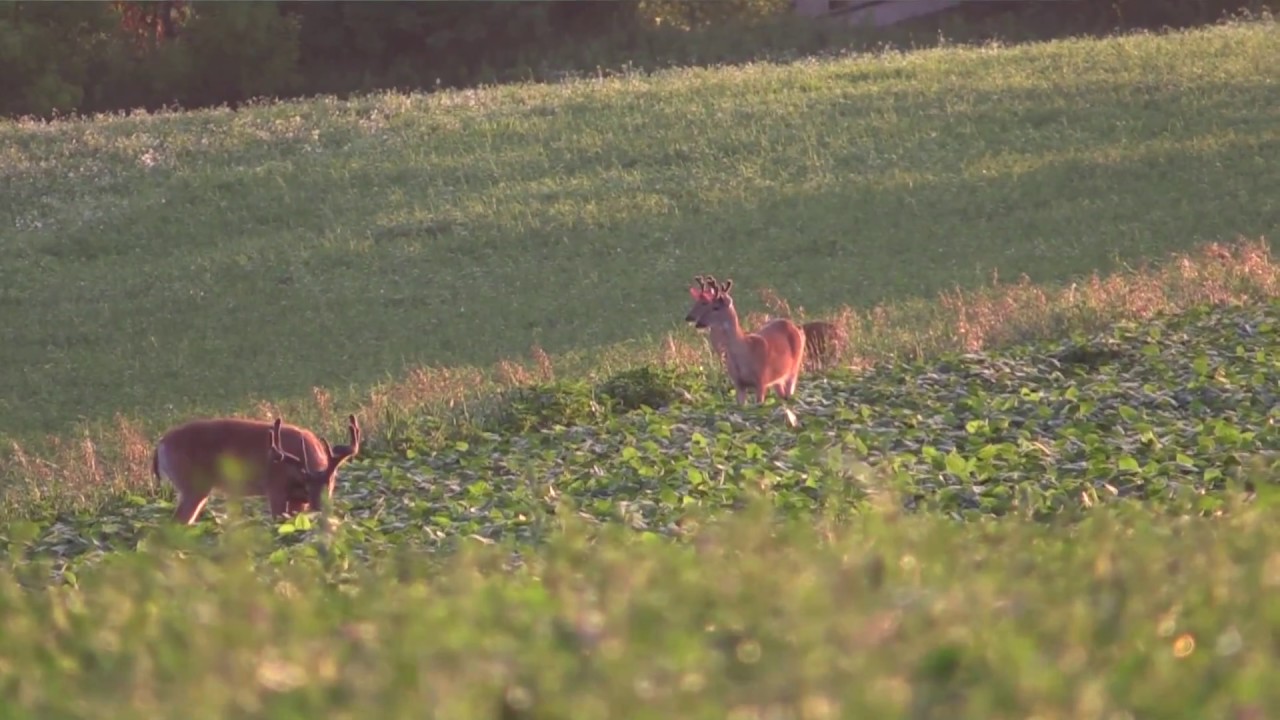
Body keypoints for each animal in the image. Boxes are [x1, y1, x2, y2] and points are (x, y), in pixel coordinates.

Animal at [152, 413, 362, 525]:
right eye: (309, 487)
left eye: (331, 483)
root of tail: (161, 443)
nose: (321, 508)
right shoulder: (275, 487)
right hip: (193, 485)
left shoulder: (297, 499)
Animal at [685, 275, 806, 405]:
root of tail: (794, 326)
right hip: (777, 379)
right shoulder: (738, 384)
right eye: (706, 304)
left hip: (794, 369)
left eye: (715, 307)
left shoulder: (761, 380)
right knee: (783, 395)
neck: (745, 352)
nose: (697, 322)